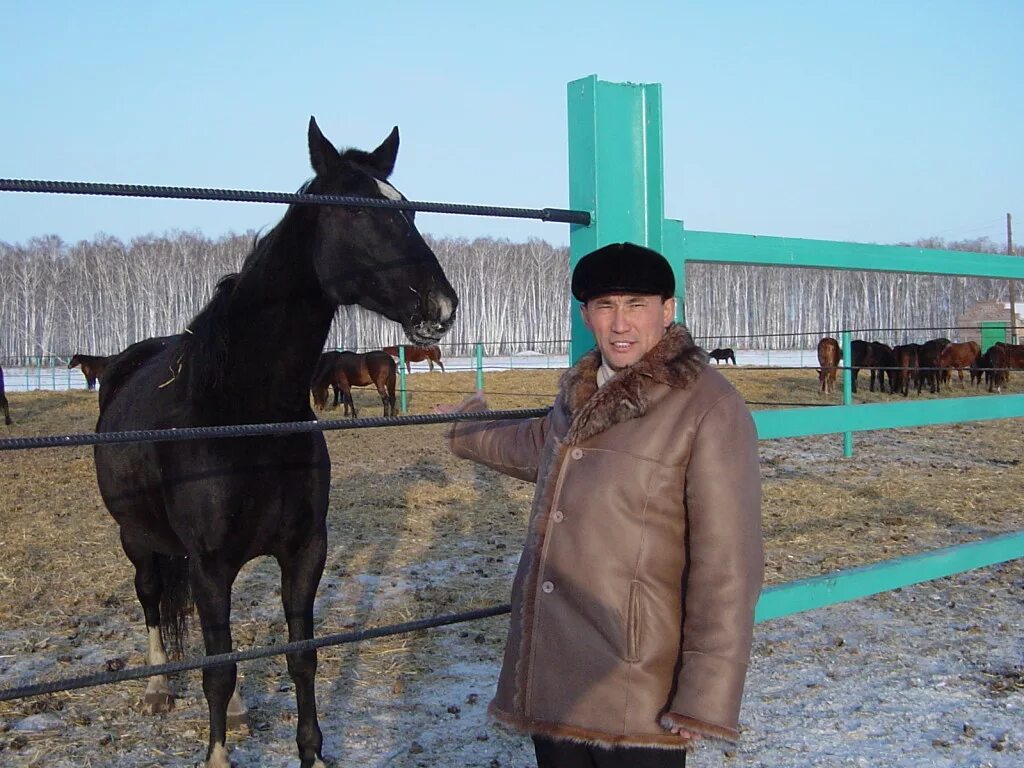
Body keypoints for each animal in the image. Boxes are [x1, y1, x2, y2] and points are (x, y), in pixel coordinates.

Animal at [90, 115, 458, 768]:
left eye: (408, 209)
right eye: (355, 212)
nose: (440, 307)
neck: (245, 414)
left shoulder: (304, 549)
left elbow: (298, 656)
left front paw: (311, 753)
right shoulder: (209, 562)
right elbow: (215, 670)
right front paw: (216, 756)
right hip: (138, 538)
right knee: (152, 599)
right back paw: (158, 689)